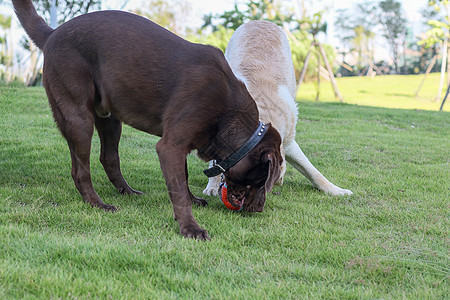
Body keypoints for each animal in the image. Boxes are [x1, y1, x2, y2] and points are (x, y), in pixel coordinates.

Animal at [13, 0, 282, 239]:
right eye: (261, 180)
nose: (259, 210)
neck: (228, 113)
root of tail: (52, 33)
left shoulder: (179, 145)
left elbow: (182, 179)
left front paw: (193, 201)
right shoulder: (170, 146)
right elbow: (178, 190)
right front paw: (190, 227)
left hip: (109, 118)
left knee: (108, 158)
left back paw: (127, 191)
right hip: (78, 117)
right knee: (80, 170)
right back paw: (97, 203)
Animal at [202, 19, 354, 197]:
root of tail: (260, 20)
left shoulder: (288, 142)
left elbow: (313, 171)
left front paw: (335, 189)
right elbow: (215, 163)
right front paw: (212, 186)